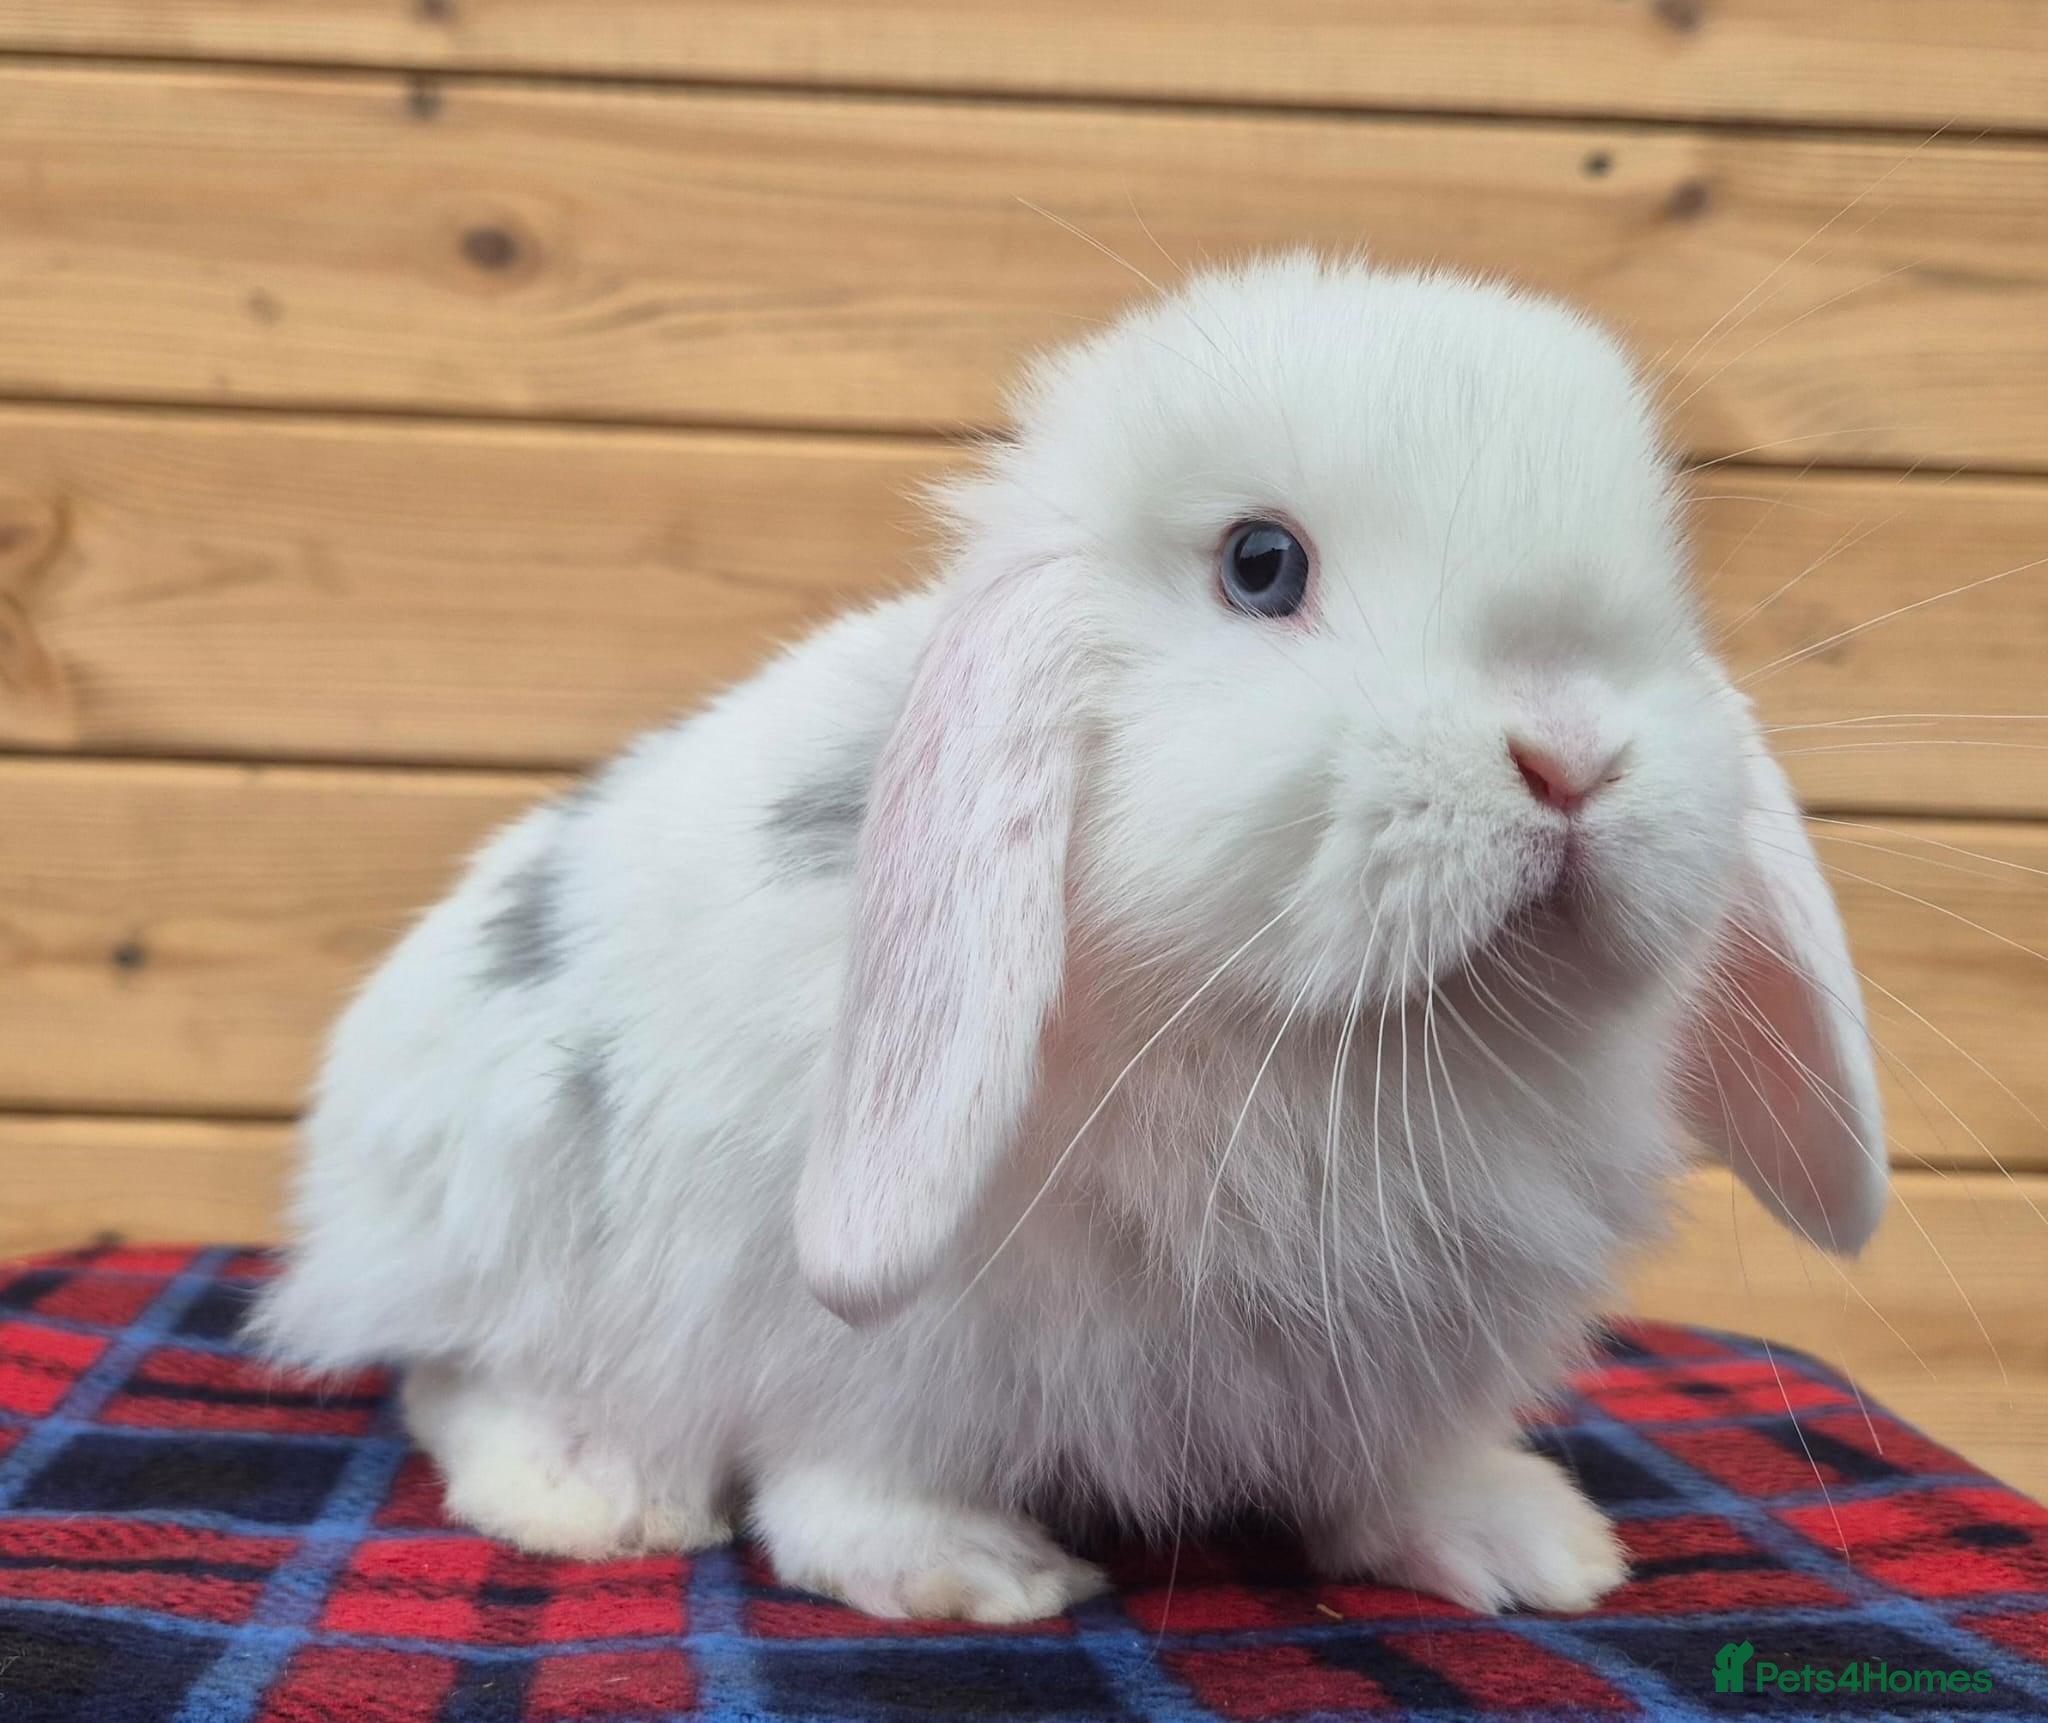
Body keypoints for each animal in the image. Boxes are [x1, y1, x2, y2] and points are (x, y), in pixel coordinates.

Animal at [252, 252, 1885, 1623]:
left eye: (1665, 582)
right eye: (1260, 564)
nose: (1571, 755)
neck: (1343, 1048)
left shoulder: (1411, 1355)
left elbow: (1399, 1470)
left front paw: (1526, 1542)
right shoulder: (878, 1333)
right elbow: (855, 1473)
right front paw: (970, 1573)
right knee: (453, 1372)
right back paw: (589, 1494)